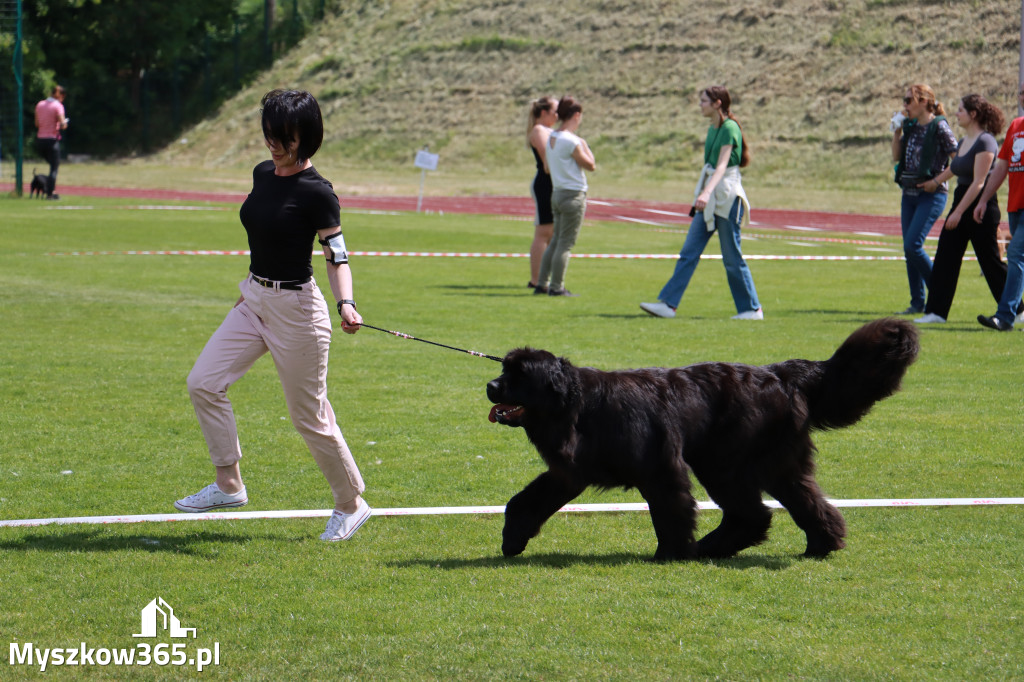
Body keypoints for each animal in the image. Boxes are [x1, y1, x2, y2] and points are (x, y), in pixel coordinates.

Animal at [487, 315, 921, 561]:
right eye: (504, 369)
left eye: (518, 375)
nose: (490, 385)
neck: (578, 406)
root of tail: (780, 374)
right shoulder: (568, 472)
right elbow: (523, 502)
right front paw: (513, 540)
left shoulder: (661, 467)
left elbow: (670, 511)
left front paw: (671, 553)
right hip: (774, 463)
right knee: (800, 503)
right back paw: (819, 546)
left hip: (725, 463)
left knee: (754, 512)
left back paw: (708, 549)